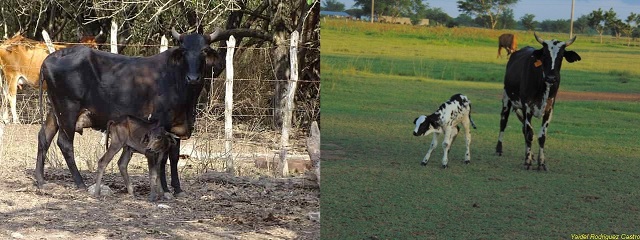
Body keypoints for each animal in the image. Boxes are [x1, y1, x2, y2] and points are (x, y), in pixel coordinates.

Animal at [35, 27, 220, 195]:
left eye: (204, 50)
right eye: (184, 51)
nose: (193, 78)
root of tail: (51, 58)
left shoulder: (177, 126)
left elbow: (174, 157)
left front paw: (178, 188)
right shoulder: (162, 123)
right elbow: (163, 158)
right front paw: (165, 188)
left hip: (54, 110)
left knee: (44, 137)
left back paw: (41, 180)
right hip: (68, 111)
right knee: (65, 143)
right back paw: (79, 182)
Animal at [498, 32, 584, 171]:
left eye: (561, 56)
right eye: (544, 54)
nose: (551, 78)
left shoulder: (549, 109)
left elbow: (541, 136)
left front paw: (541, 162)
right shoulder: (527, 107)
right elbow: (529, 134)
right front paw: (527, 162)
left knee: (524, 129)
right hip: (507, 99)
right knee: (503, 122)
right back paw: (499, 149)